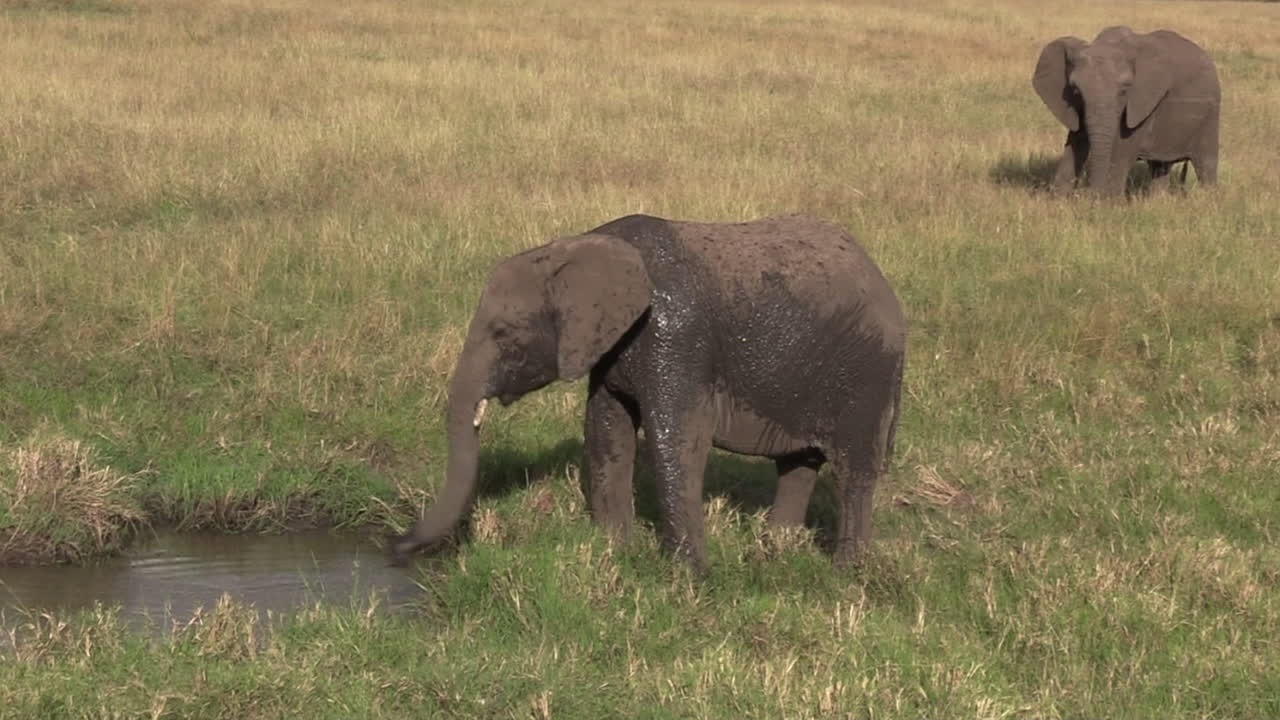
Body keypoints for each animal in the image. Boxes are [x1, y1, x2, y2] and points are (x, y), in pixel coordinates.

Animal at [389, 214, 906, 572]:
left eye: (503, 333)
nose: (395, 549)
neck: (586, 244)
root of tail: (881, 278)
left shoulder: (675, 339)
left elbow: (675, 443)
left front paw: (688, 577)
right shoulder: (610, 348)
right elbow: (607, 432)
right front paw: (615, 551)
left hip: (868, 373)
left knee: (855, 471)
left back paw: (845, 574)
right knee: (798, 465)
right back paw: (776, 550)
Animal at [1033, 26, 1220, 196]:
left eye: (1124, 90)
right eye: (1076, 91)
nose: (1088, 194)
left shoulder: (1143, 101)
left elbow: (1123, 148)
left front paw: (1107, 204)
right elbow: (1075, 141)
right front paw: (1059, 201)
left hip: (1211, 112)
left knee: (1206, 163)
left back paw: (1208, 200)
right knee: (1160, 166)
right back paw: (1158, 201)